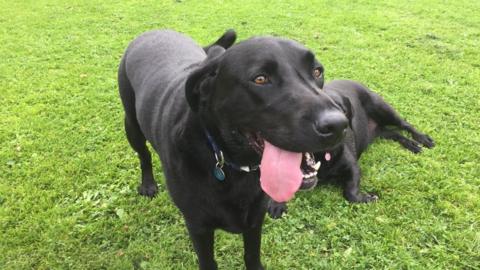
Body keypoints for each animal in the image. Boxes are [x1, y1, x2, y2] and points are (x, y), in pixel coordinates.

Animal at [116, 30, 348, 270]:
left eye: (317, 71)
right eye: (260, 79)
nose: (338, 125)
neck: (232, 164)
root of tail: (155, 31)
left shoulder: (255, 219)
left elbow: (252, 256)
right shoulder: (198, 227)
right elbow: (208, 262)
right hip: (131, 124)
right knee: (143, 155)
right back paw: (148, 184)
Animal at [266, 79, 436, 218]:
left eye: (342, 108)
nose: (337, 126)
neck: (321, 155)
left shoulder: (353, 167)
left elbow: (350, 193)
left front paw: (366, 198)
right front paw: (276, 203)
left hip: (383, 109)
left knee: (405, 124)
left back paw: (422, 139)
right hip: (379, 132)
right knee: (396, 134)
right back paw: (411, 144)